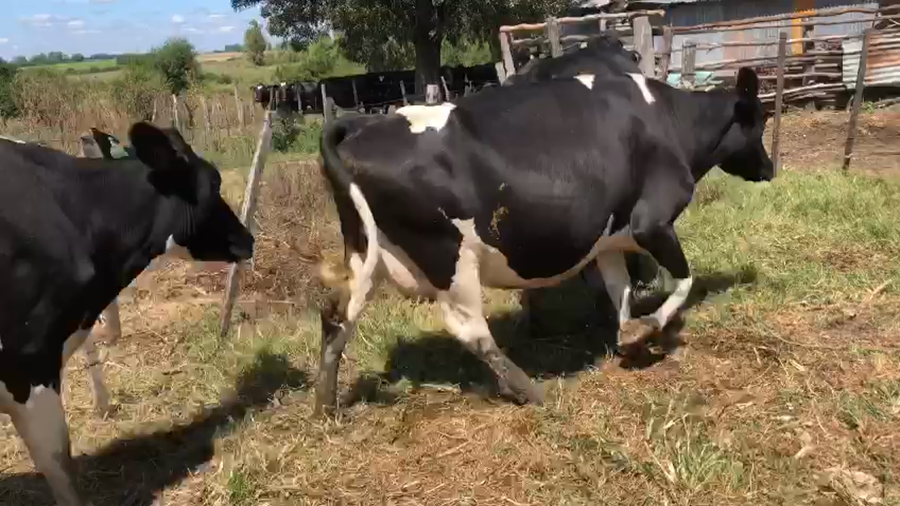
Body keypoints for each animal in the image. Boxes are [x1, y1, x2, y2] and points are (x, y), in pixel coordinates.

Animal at [312, 66, 774, 416]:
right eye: (761, 119)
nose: (770, 169)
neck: (668, 120)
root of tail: (364, 124)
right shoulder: (651, 222)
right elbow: (683, 280)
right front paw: (648, 327)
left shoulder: (609, 240)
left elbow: (620, 291)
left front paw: (627, 337)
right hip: (449, 257)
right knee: (470, 330)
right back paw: (531, 390)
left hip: (367, 253)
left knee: (337, 315)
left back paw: (325, 406)